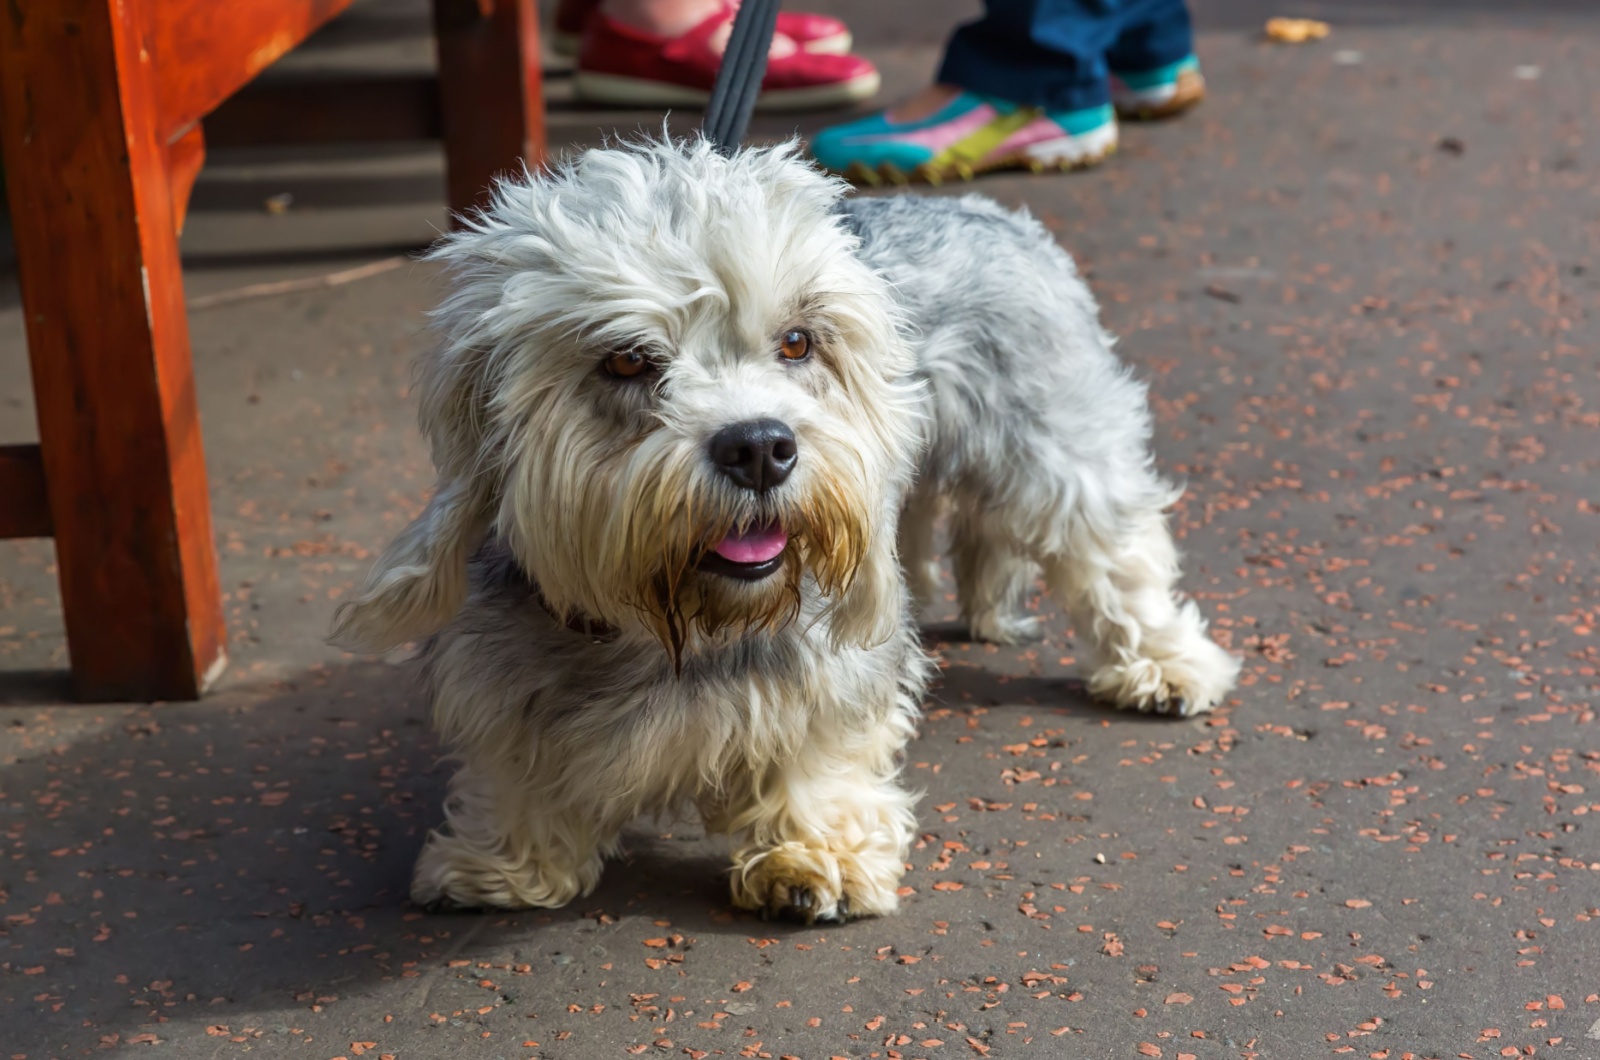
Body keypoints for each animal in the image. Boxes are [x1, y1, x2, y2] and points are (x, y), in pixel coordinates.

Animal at [334, 139, 1235, 922]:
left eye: (797, 342)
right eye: (626, 360)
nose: (760, 447)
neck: (679, 626)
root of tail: (984, 207)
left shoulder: (834, 662)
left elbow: (821, 743)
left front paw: (813, 852)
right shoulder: (506, 666)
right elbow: (518, 758)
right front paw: (507, 860)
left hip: (1057, 451)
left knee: (1116, 554)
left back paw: (1162, 665)